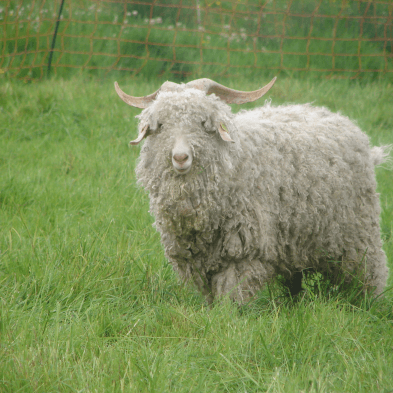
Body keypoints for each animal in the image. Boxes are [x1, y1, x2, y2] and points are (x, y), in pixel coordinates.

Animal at [114, 77, 388, 304]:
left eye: (203, 124)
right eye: (160, 125)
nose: (180, 157)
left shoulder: (244, 251)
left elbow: (232, 297)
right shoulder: (197, 258)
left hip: (358, 233)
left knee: (370, 271)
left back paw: (370, 304)